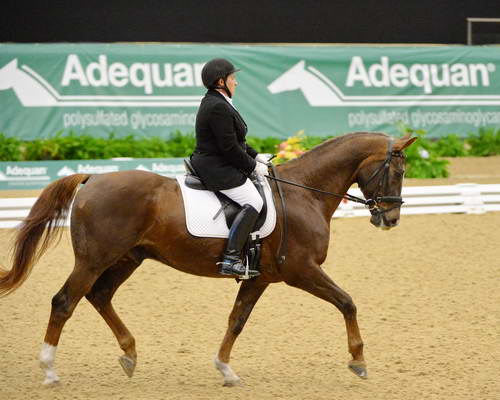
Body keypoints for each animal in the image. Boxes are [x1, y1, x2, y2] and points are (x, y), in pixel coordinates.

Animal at [0, 130, 414, 384]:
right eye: (397, 169)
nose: (391, 218)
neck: (304, 193)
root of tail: (93, 179)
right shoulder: (300, 270)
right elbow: (347, 302)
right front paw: (358, 361)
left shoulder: (261, 277)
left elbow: (236, 320)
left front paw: (226, 370)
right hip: (94, 259)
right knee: (64, 302)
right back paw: (50, 371)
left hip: (127, 258)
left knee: (99, 296)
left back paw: (130, 355)